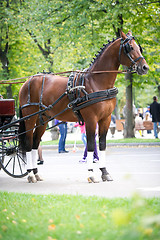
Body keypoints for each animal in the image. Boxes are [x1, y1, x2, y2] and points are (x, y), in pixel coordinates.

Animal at [18, 31, 149, 183]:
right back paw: (30, 174)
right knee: (28, 143)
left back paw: (36, 173)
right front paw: (91, 174)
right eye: (130, 47)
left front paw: (104, 172)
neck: (96, 82)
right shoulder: (91, 119)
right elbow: (91, 144)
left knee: (35, 143)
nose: (145, 67)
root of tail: (28, 81)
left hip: (42, 119)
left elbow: (102, 144)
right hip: (29, 118)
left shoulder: (106, 118)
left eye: (139, 48)